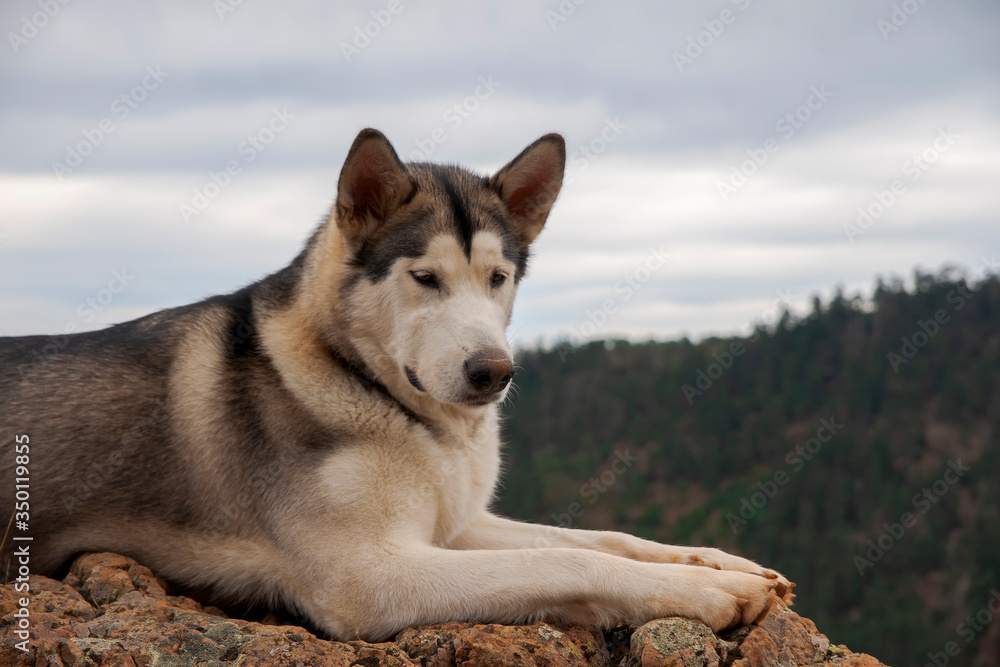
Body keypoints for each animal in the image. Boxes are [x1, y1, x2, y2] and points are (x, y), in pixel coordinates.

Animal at [1, 129, 796, 640]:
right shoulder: (371, 576)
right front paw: (709, 591)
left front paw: (721, 562)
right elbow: (566, 557)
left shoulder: (453, 523)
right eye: (425, 277)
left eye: (497, 277)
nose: (494, 372)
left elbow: (602, 536)